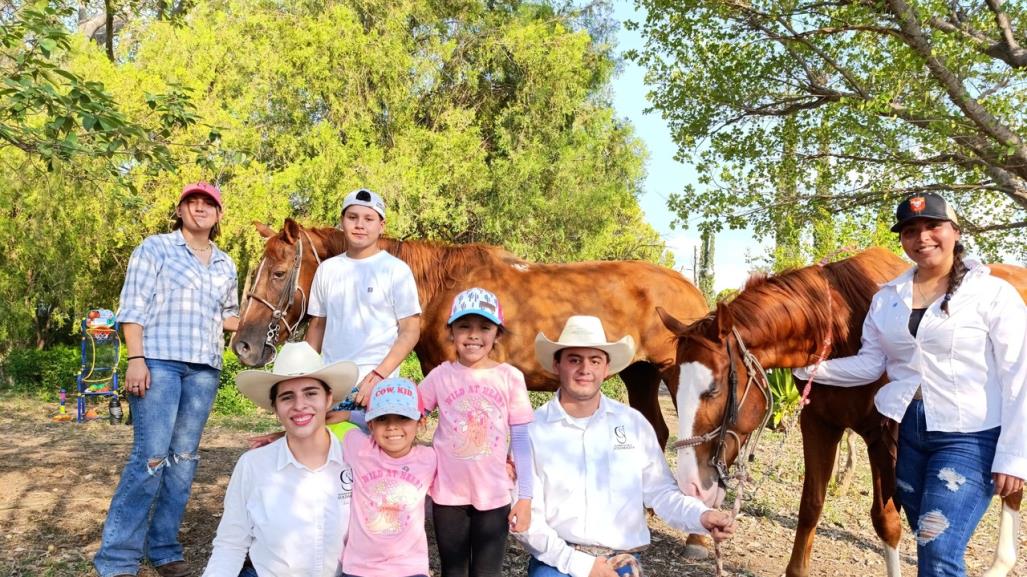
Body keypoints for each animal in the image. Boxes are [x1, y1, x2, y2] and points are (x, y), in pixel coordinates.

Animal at [229, 216, 710, 445]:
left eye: (277, 272)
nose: (244, 345)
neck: (443, 287)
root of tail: (694, 289)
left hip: (673, 375)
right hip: (639, 374)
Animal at [657, 247, 1027, 574]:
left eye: (714, 390)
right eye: (672, 385)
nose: (691, 485)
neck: (843, 328)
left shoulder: (883, 438)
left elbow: (886, 521)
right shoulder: (819, 424)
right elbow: (811, 505)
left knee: (1011, 487)